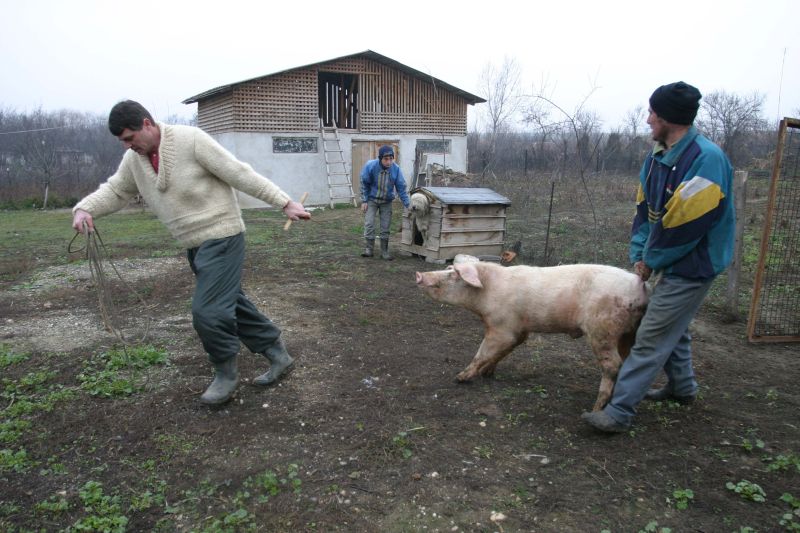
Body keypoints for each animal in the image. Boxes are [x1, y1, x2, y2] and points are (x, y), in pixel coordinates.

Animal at [416, 262, 648, 412]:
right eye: (448, 269)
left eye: (454, 274)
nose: (419, 274)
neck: (486, 295)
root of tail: (640, 287)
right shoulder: (520, 329)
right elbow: (505, 350)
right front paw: (487, 373)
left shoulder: (502, 327)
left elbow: (483, 351)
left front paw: (459, 377)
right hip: (629, 332)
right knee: (628, 361)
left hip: (603, 330)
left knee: (613, 365)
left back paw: (595, 409)